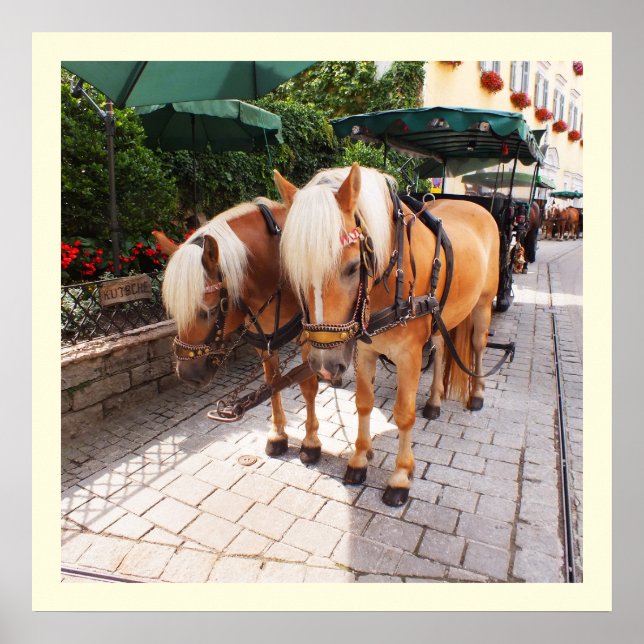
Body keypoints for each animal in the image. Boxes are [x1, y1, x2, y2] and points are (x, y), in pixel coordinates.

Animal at [160, 199, 323, 463]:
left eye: (210, 310)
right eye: (174, 309)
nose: (188, 374)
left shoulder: (310, 337)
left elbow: (307, 385)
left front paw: (310, 443)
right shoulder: (265, 340)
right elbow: (272, 382)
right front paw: (277, 436)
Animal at [275, 163, 500, 506]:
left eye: (353, 267)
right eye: (294, 272)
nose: (325, 365)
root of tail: (476, 206)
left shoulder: (408, 355)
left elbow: (403, 414)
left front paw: (400, 477)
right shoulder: (365, 351)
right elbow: (364, 403)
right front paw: (359, 460)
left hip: (483, 305)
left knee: (476, 347)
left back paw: (476, 394)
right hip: (442, 316)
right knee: (440, 349)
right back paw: (434, 400)